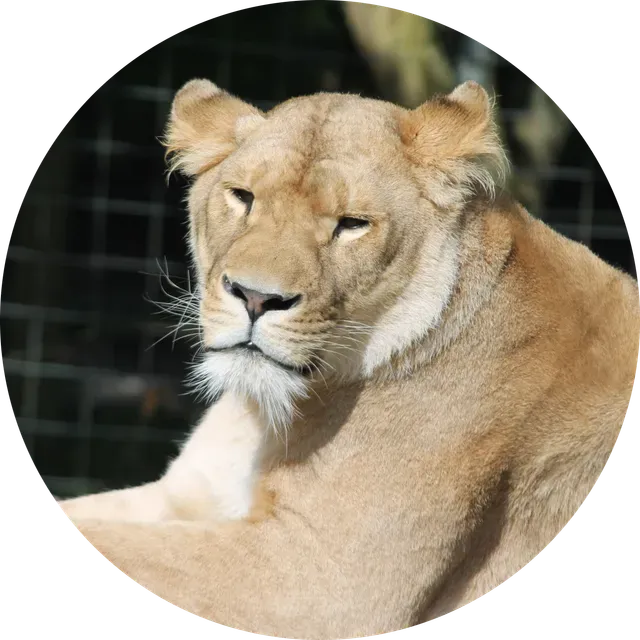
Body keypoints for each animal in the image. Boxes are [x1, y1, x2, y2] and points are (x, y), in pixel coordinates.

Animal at [57, 79, 639, 639]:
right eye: (243, 196)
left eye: (352, 224)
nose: (255, 297)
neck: (269, 416)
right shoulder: (186, 494)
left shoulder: (317, 578)